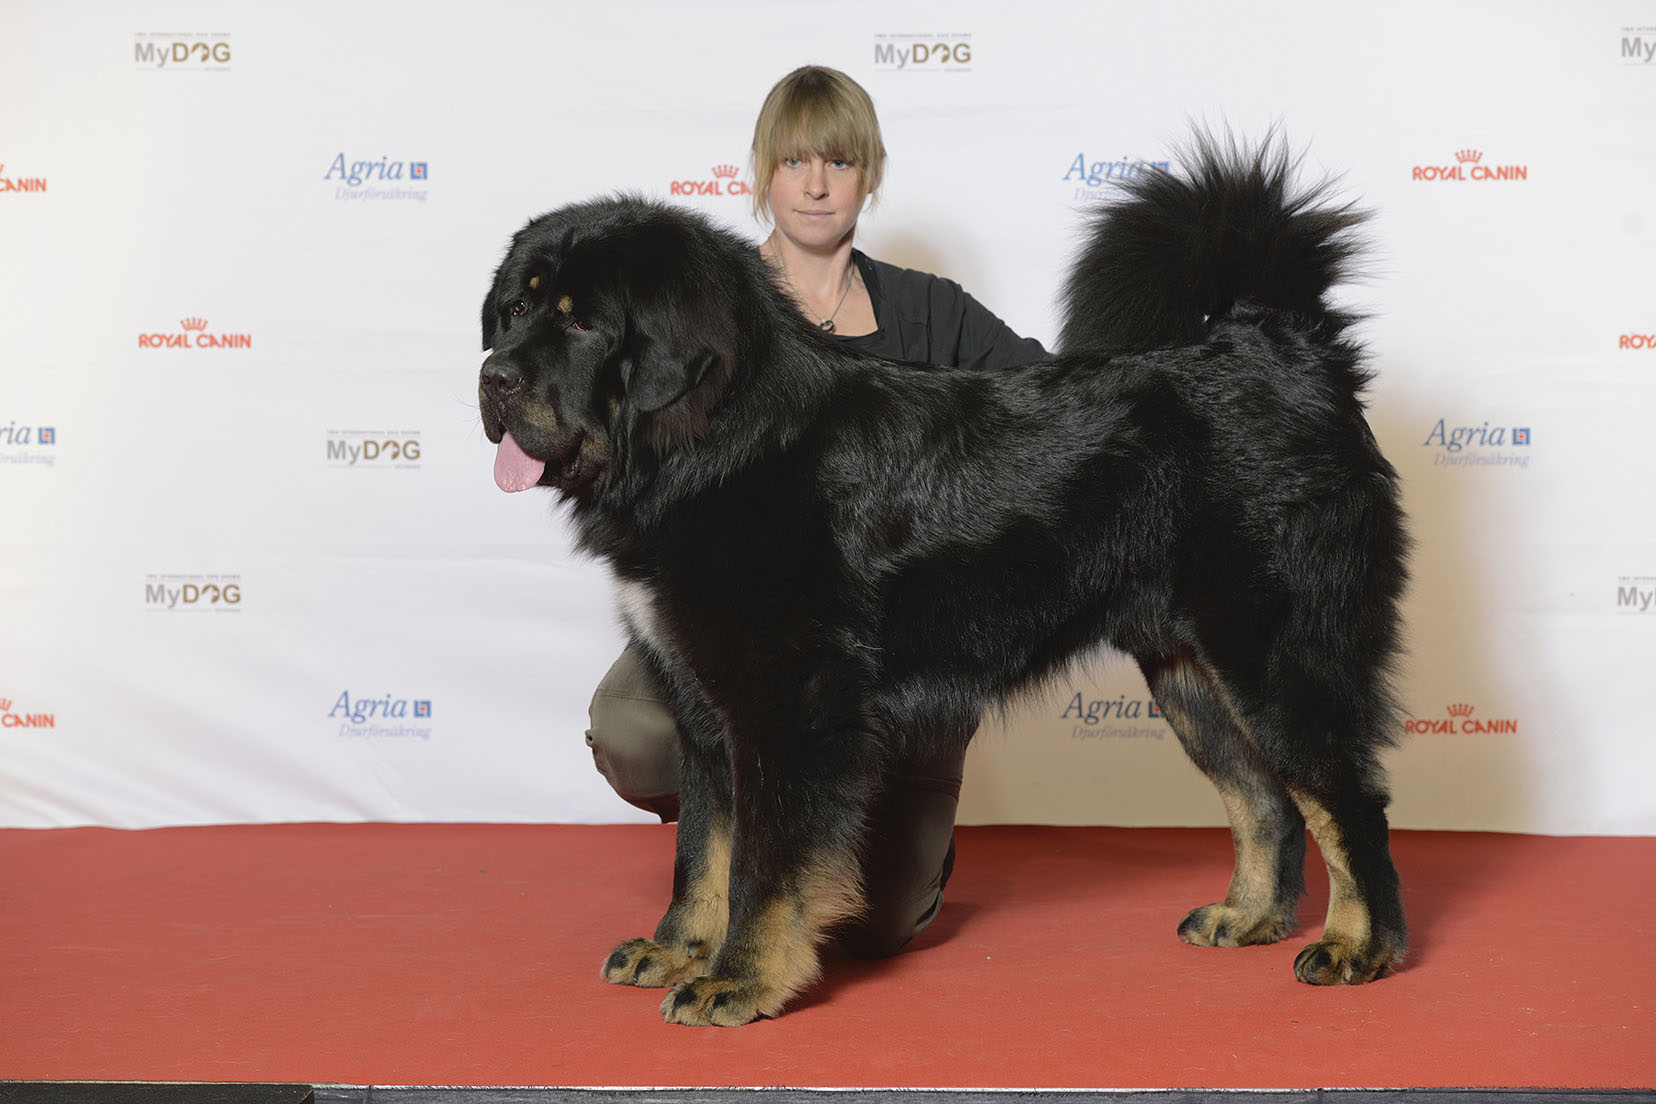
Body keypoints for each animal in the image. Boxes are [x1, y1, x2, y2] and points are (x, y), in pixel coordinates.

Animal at [480, 135, 1410, 1026]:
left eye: (583, 325)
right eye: (517, 310)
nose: (493, 376)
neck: (711, 445)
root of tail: (1277, 342)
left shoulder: (787, 701)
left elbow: (763, 864)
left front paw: (739, 980)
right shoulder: (701, 702)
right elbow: (701, 850)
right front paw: (678, 949)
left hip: (1277, 658)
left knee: (1348, 800)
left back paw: (1359, 947)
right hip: (1190, 674)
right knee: (1266, 802)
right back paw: (1248, 917)